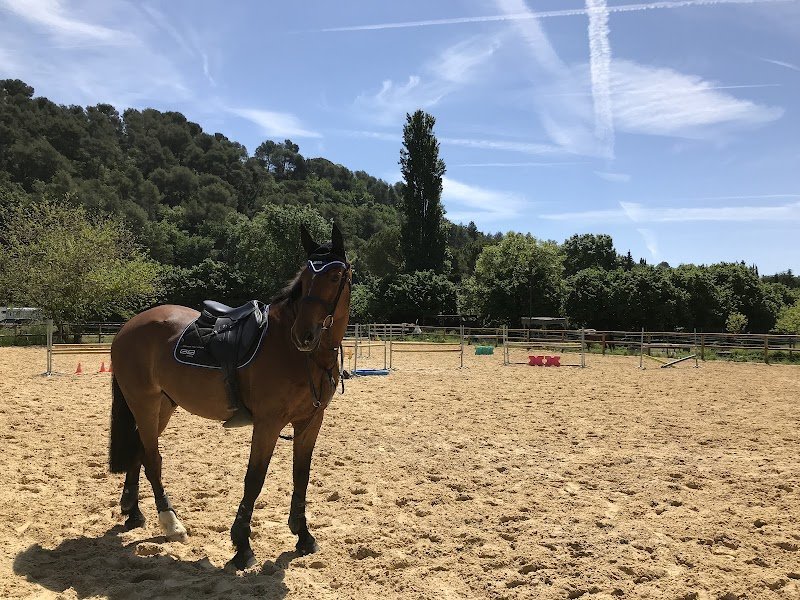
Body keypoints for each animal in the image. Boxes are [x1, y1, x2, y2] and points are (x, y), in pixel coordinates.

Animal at [107, 223, 352, 570]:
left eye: (334, 276)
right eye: (304, 278)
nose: (303, 334)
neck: (296, 353)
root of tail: (127, 327)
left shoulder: (310, 422)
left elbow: (301, 476)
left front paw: (303, 535)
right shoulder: (268, 424)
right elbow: (255, 479)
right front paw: (242, 545)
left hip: (162, 406)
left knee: (140, 451)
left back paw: (133, 513)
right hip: (144, 402)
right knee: (152, 459)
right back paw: (171, 523)